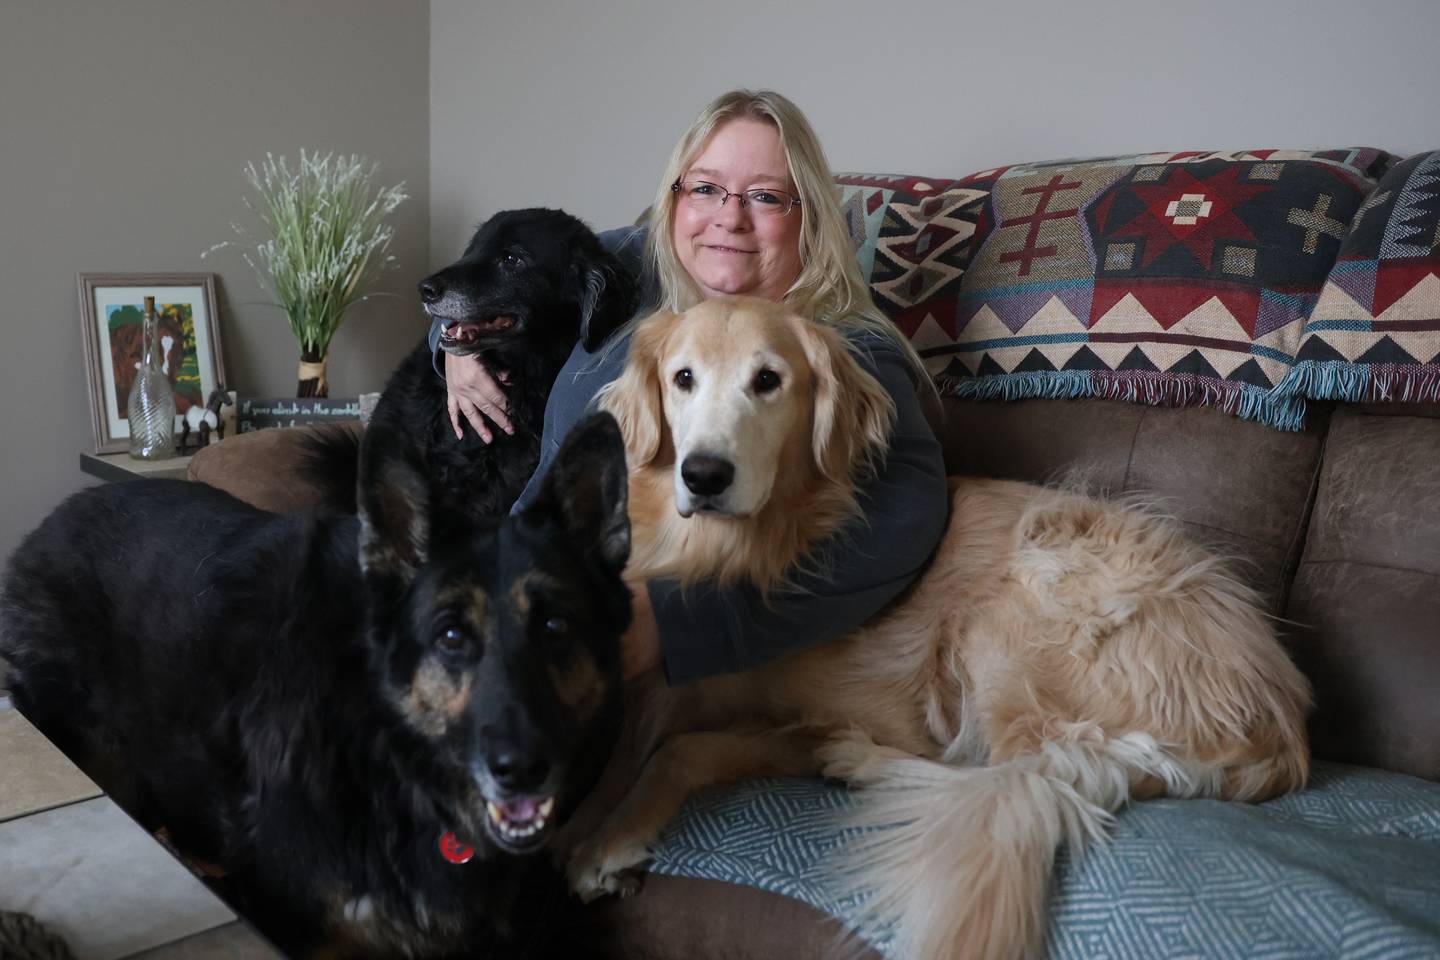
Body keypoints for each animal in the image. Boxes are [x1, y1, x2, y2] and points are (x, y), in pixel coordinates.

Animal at [567, 302, 1313, 960]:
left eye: (768, 380)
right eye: (682, 378)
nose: (704, 474)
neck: (738, 552)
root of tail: (1283, 725)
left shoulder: (825, 710)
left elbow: (674, 750)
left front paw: (608, 839)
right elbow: (653, 747)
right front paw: (590, 823)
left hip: (1012, 617)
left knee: (1003, 773)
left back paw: (861, 760)